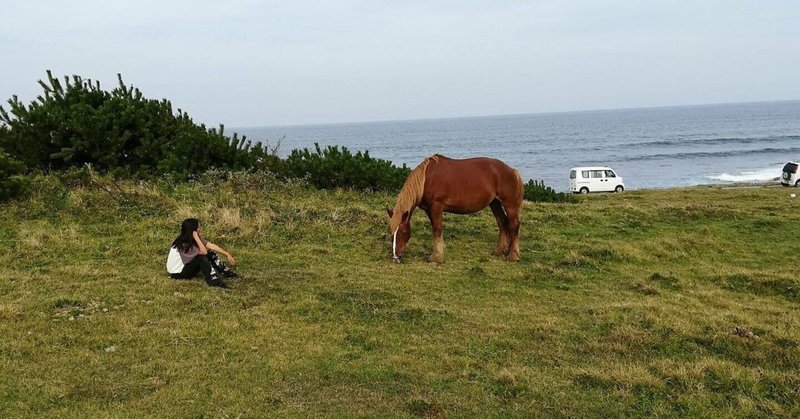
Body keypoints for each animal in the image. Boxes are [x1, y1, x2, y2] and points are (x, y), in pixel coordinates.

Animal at [388, 155, 524, 262]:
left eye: (403, 232)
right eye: (391, 233)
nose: (395, 256)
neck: (426, 179)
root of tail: (512, 171)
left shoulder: (436, 206)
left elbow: (437, 229)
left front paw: (436, 257)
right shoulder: (429, 209)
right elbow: (436, 229)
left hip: (510, 205)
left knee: (513, 225)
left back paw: (513, 255)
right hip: (494, 203)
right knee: (502, 222)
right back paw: (499, 251)